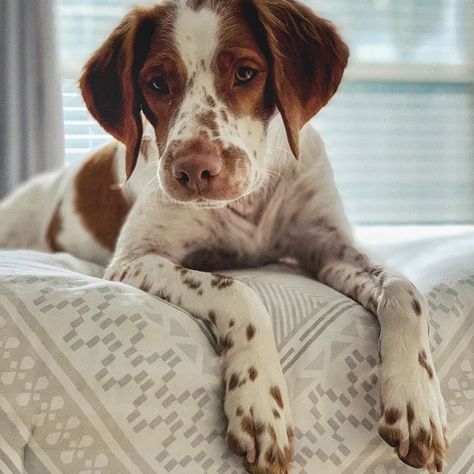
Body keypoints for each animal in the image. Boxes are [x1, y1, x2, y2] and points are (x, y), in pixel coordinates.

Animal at [0, 0, 448, 474]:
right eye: (156, 82)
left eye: (246, 73)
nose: (194, 170)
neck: (250, 202)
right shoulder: (135, 259)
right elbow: (238, 291)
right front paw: (260, 403)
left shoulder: (328, 247)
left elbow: (403, 291)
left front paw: (417, 401)